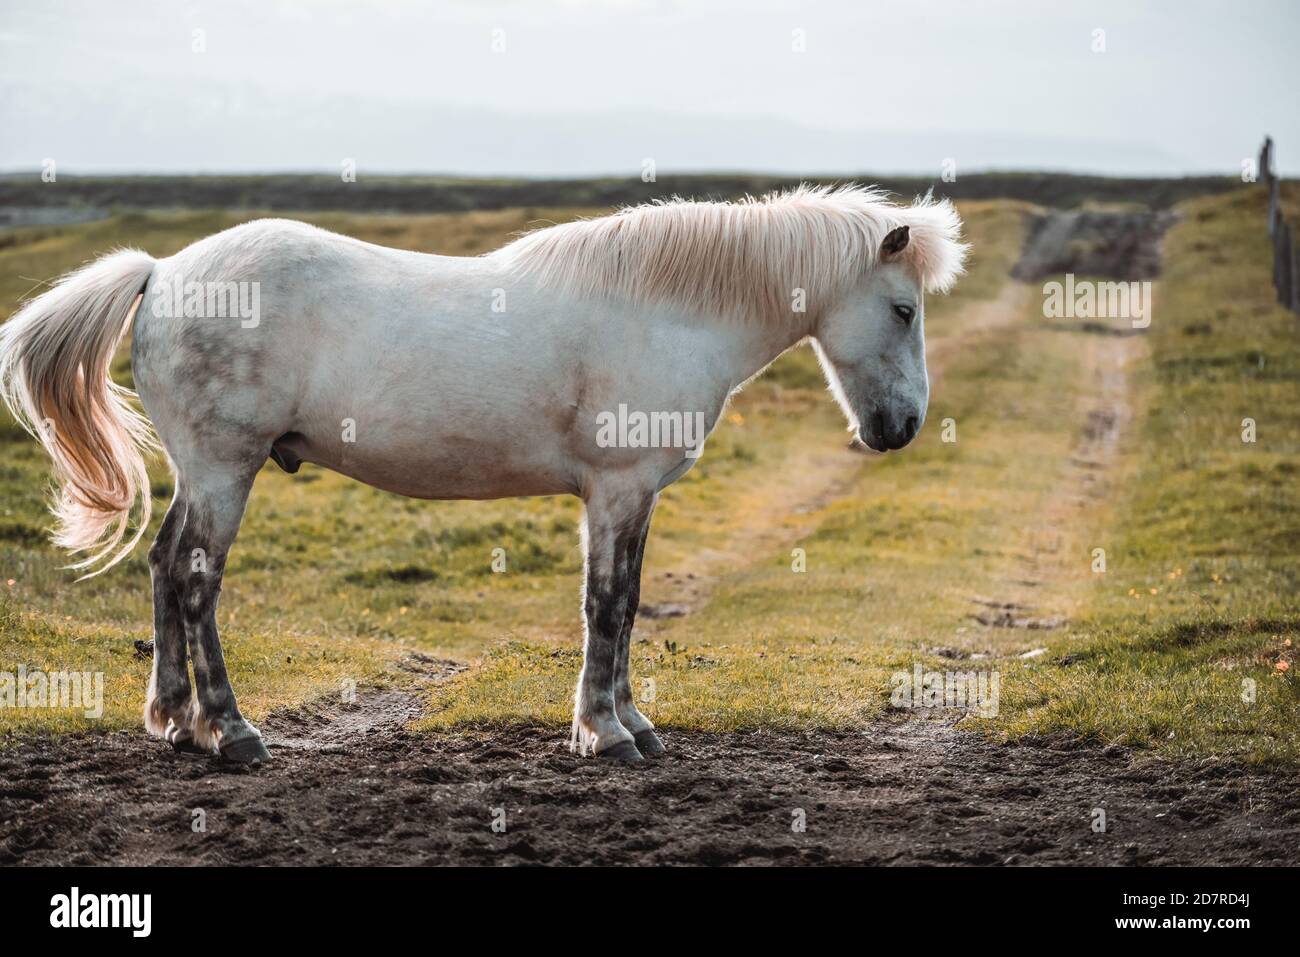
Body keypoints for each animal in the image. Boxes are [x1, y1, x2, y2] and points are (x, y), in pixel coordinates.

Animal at [0, 187, 967, 764]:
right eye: (902, 308)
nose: (901, 428)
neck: (664, 310)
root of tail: (162, 273)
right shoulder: (616, 490)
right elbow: (608, 605)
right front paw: (605, 732)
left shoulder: (630, 498)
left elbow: (627, 603)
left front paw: (630, 722)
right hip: (222, 468)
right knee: (196, 579)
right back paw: (231, 731)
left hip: (202, 473)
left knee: (166, 566)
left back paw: (173, 720)